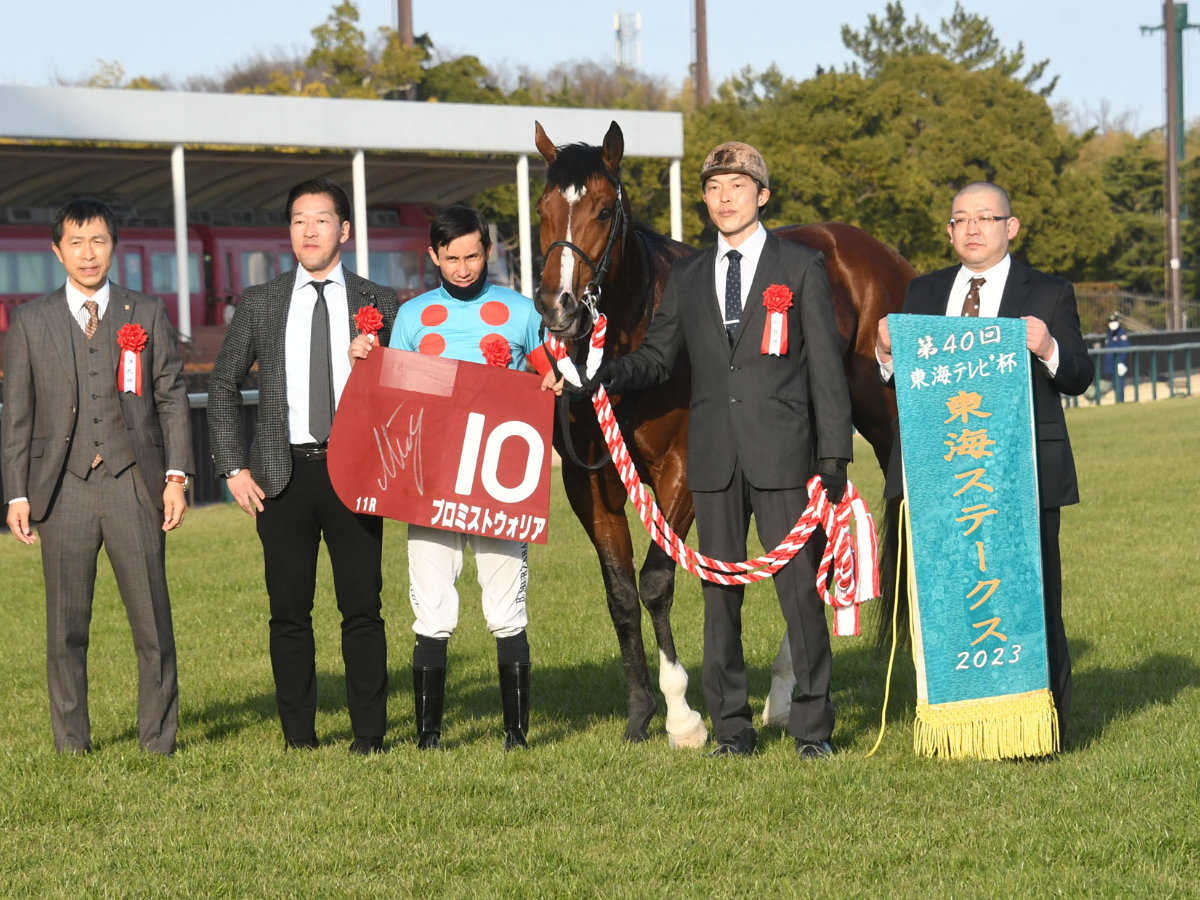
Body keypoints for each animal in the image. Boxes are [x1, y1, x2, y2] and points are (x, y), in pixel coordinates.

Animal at [530, 118, 912, 748]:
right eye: (542, 209)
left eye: (605, 211)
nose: (558, 307)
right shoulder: (590, 488)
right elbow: (620, 593)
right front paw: (640, 712)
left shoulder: (685, 470)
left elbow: (656, 580)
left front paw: (682, 716)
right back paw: (783, 693)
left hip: (882, 431)